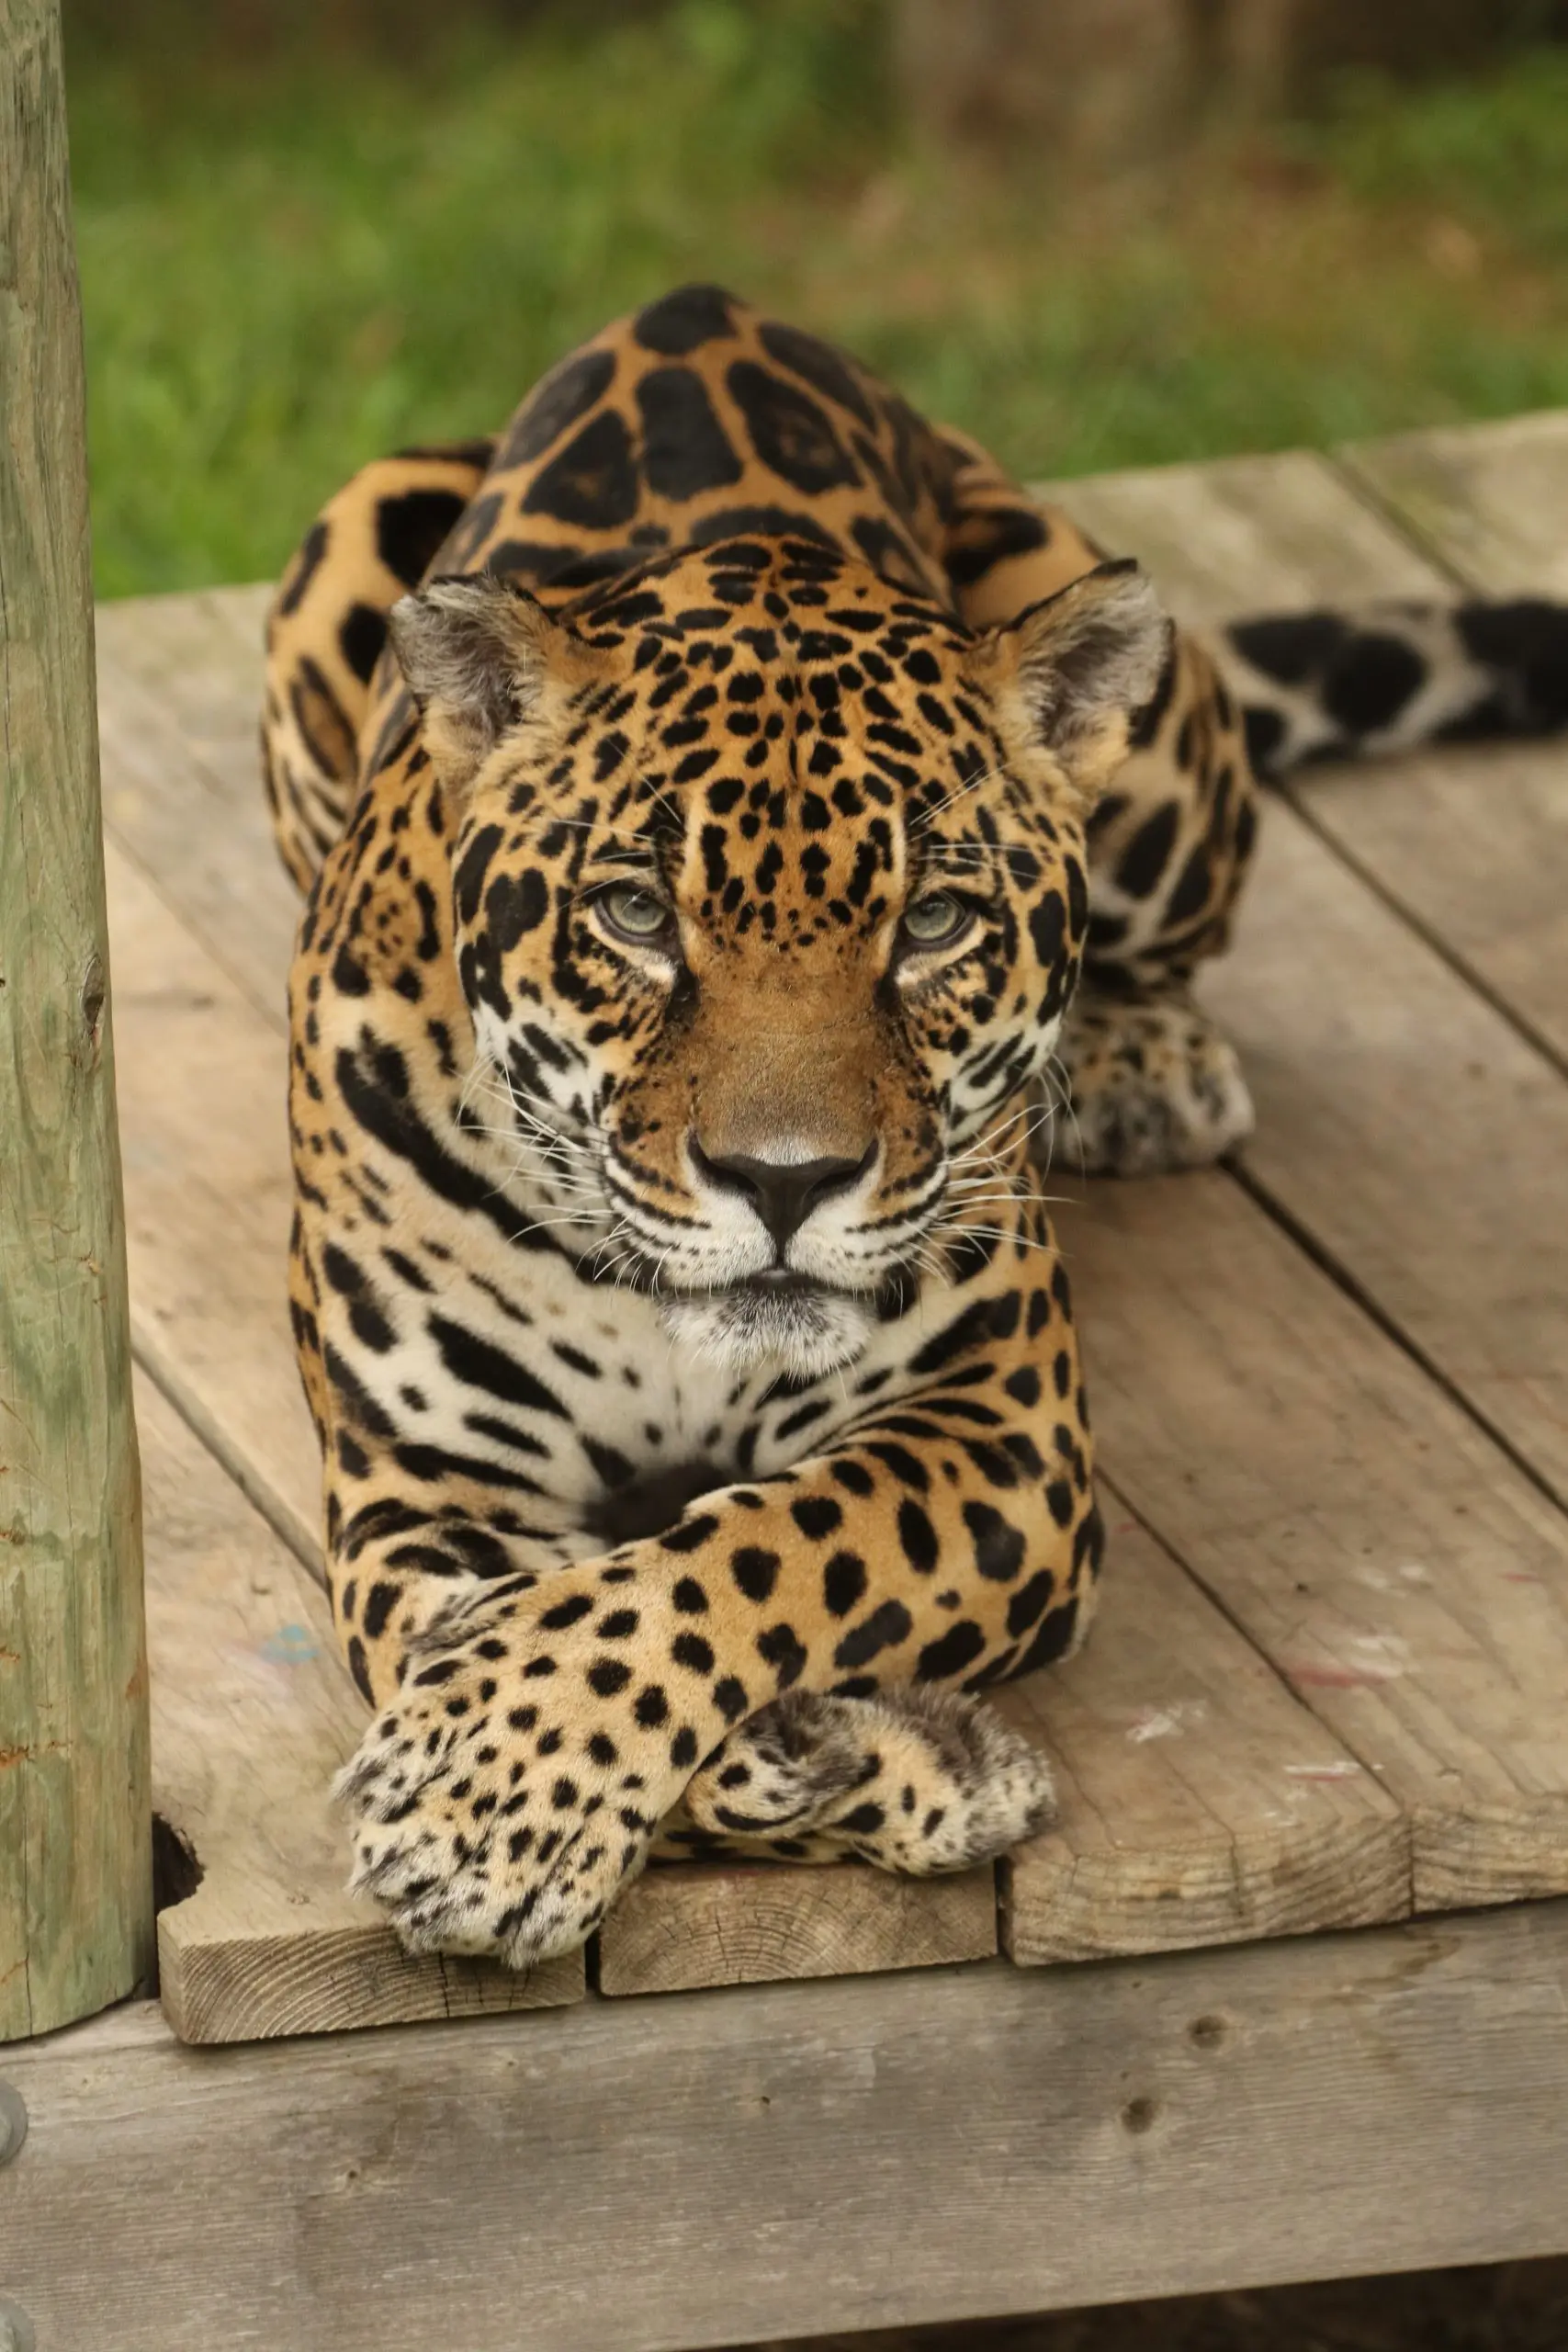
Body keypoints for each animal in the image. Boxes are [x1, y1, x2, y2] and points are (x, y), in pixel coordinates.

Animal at [262, 283, 1568, 1968]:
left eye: (934, 923)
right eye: (633, 915)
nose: (784, 1182)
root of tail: (702, 305)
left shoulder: (999, 1425)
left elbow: (739, 1553)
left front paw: (488, 1797)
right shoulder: (419, 1490)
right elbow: (492, 1631)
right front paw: (855, 1765)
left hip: (1156, 735)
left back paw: (1139, 1060)